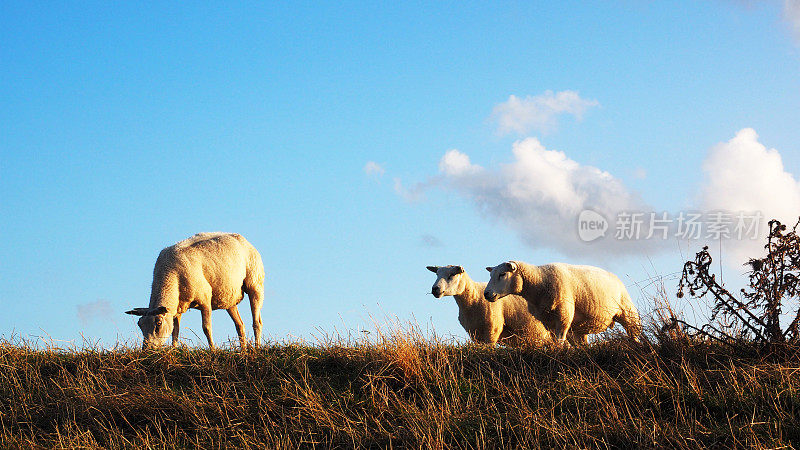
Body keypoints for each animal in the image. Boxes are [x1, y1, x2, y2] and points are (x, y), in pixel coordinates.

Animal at [123, 234, 264, 350]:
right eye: (140, 325)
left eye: (158, 324)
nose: (147, 350)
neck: (170, 276)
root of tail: (243, 239)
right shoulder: (178, 308)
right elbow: (175, 331)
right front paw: (174, 350)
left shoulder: (205, 299)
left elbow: (206, 328)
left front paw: (213, 350)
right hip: (228, 297)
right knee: (240, 325)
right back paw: (243, 351)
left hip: (255, 284)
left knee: (257, 322)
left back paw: (257, 348)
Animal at [482, 258, 644, 346]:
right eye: (491, 275)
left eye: (502, 274)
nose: (486, 294)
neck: (539, 282)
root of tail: (616, 278)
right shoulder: (548, 321)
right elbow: (555, 341)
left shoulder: (563, 315)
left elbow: (560, 340)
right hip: (580, 328)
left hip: (627, 311)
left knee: (633, 333)